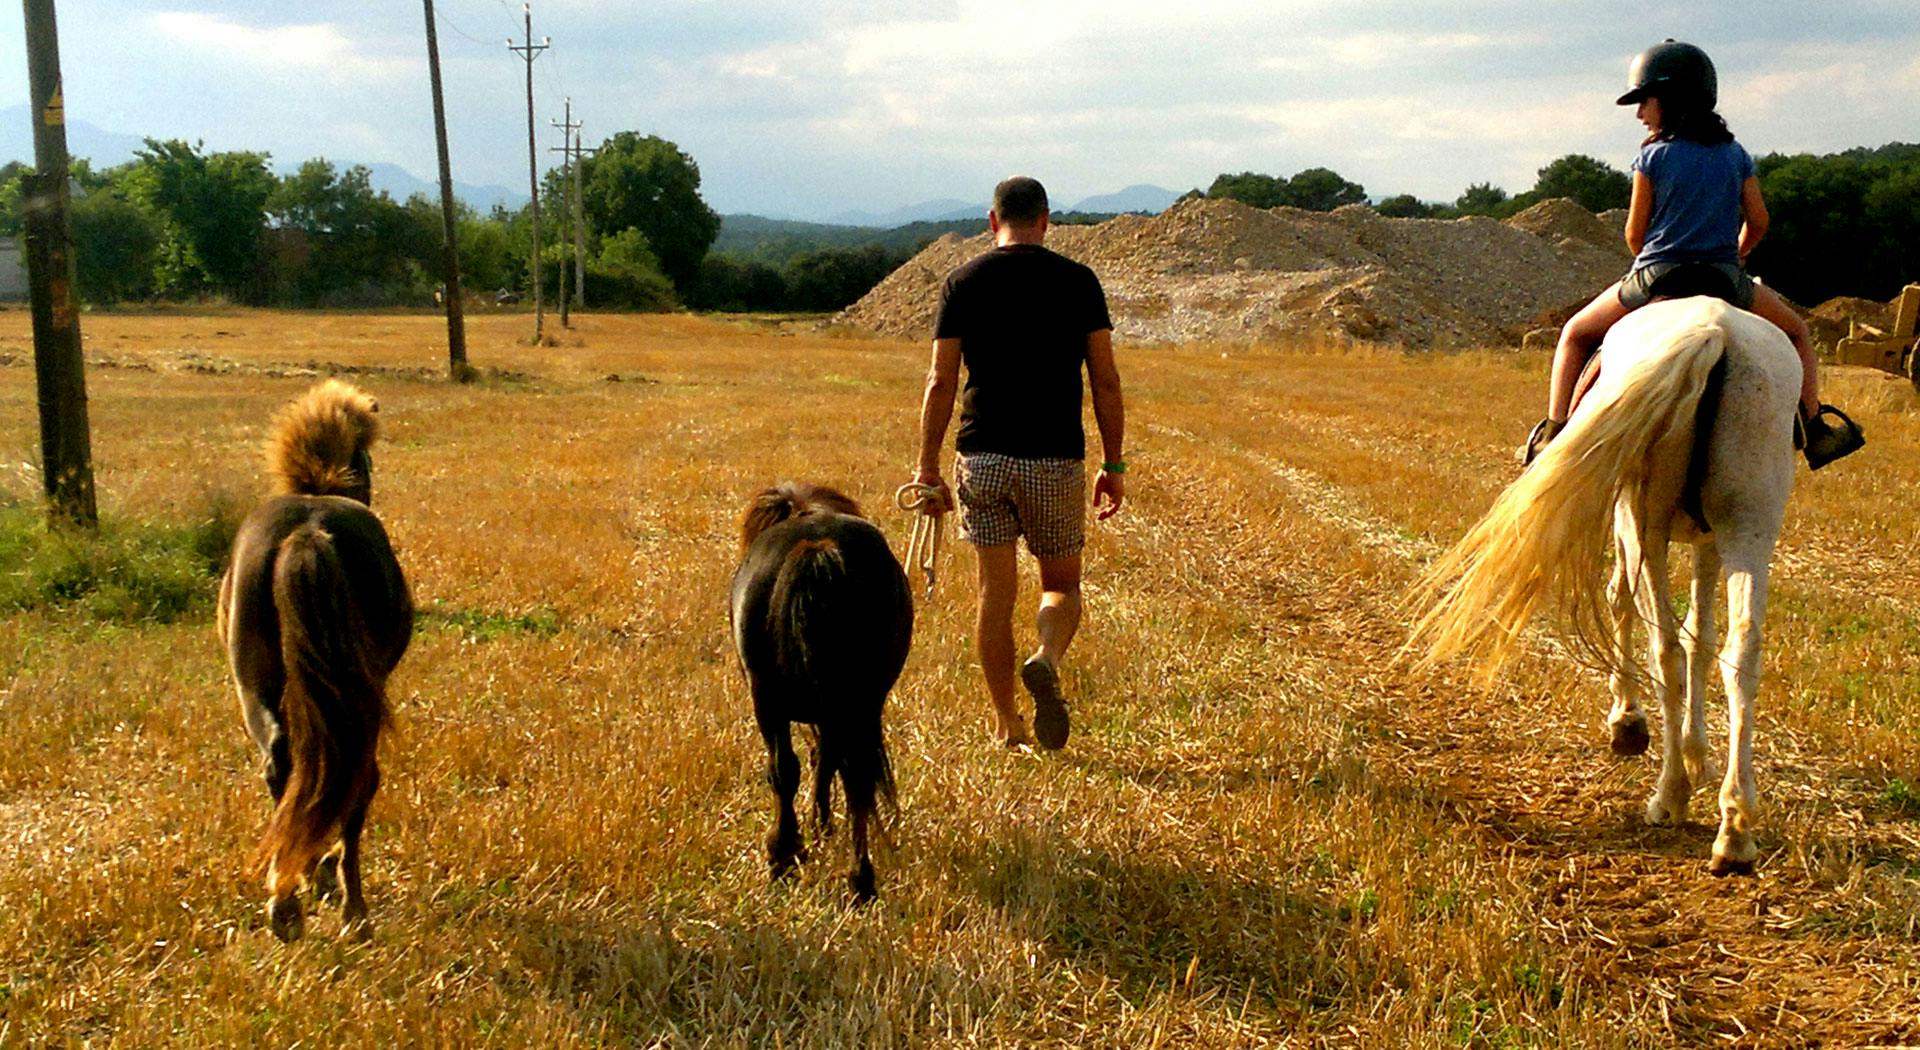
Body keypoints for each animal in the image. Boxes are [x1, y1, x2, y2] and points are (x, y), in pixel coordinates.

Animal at [217, 380, 412, 944]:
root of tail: (308, 532)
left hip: (255, 684)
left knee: (283, 765)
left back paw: (288, 900)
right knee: (355, 777)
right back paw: (349, 906)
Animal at [729, 485, 917, 902]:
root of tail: (818, 548)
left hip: (773, 700)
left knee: (791, 769)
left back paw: (787, 855)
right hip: (851, 703)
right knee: (851, 777)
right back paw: (858, 879)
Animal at [1413, 297, 1797, 879]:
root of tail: (1714, 332)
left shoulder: (1629, 520)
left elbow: (1627, 604)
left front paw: (1630, 722)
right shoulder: (1709, 541)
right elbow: (1702, 637)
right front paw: (1698, 753)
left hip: (1646, 524)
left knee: (1662, 645)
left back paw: (1670, 796)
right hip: (1747, 525)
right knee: (1741, 651)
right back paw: (1734, 831)